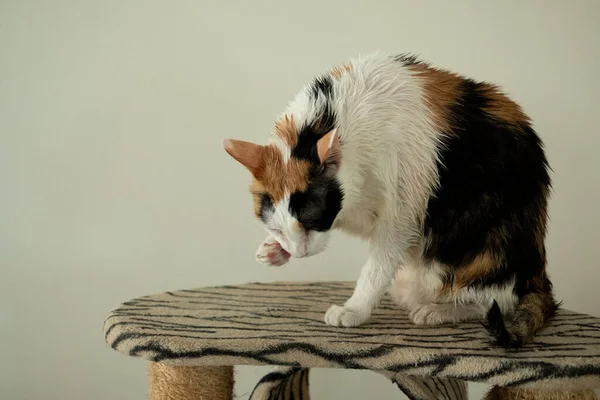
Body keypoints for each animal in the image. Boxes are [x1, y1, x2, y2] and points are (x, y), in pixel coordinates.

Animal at [223, 50, 560, 346]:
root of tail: (538, 271)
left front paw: (354, 309)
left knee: (495, 301)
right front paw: (273, 251)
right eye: (276, 228)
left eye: (311, 219)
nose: (299, 252)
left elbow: (378, 265)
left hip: (481, 252)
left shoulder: (403, 210)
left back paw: (437, 311)